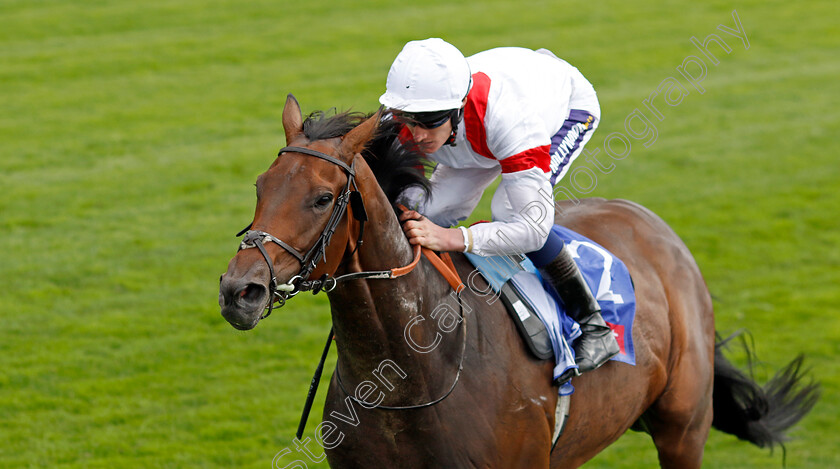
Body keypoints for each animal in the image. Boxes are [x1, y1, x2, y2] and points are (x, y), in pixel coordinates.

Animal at [220, 96, 816, 468]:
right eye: (260, 186)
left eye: (322, 198)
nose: (238, 291)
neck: (413, 375)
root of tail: (655, 227)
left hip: (683, 428)